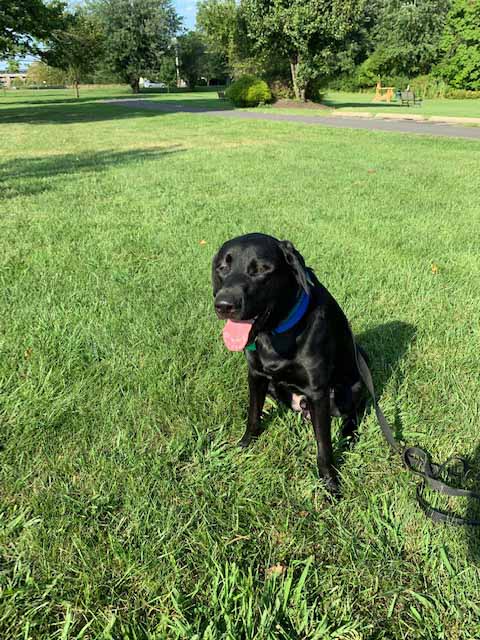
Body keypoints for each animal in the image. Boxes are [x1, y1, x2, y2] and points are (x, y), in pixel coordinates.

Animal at [212, 232, 366, 492]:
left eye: (261, 269)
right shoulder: (256, 375)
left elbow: (324, 447)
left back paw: (348, 435)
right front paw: (245, 444)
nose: (224, 305)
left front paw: (330, 483)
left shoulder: (317, 392)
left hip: (350, 389)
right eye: (223, 267)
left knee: (353, 414)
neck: (276, 333)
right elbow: (252, 415)